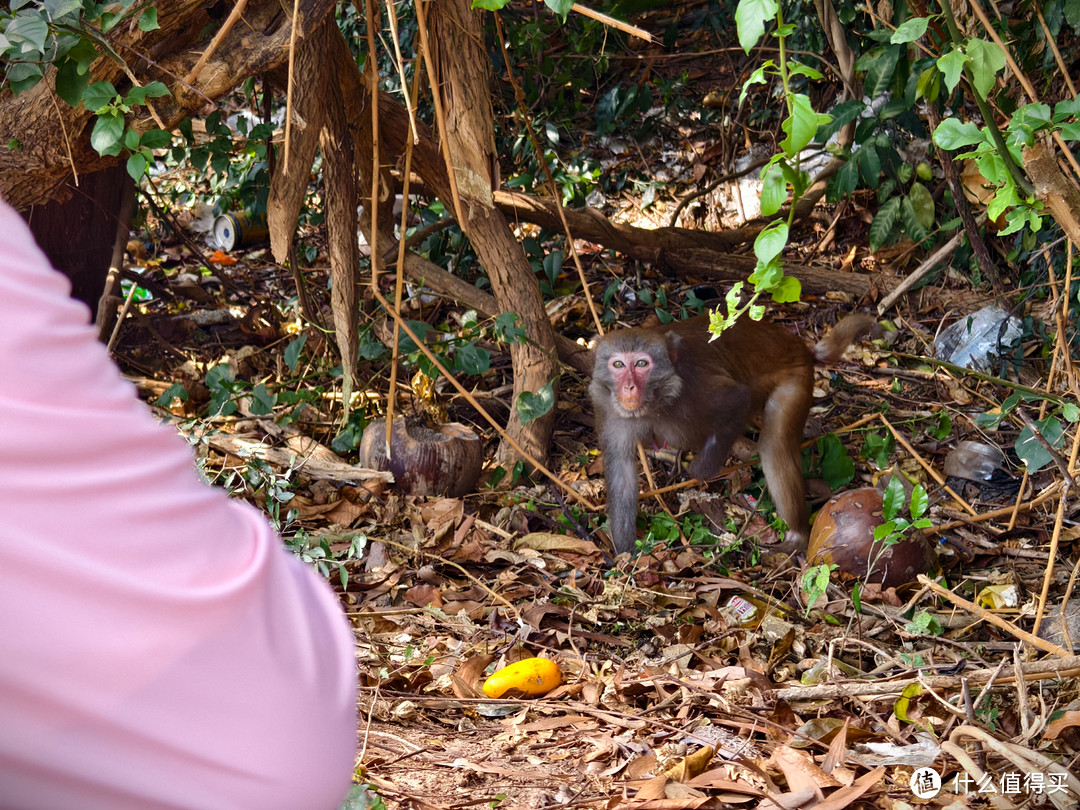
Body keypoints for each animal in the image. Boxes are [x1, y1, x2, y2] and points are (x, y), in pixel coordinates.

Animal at [591, 313, 876, 557]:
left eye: (641, 363)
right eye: (618, 364)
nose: (629, 387)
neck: (657, 400)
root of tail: (801, 347)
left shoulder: (696, 388)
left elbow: (737, 398)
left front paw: (700, 471)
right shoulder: (612, 412)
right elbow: (622, 473)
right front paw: (625, 554)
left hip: (796, 379)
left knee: (775, 447)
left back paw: (797, 536)